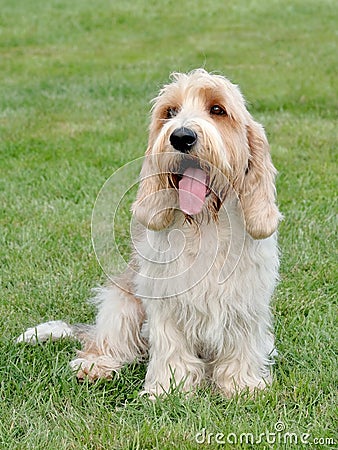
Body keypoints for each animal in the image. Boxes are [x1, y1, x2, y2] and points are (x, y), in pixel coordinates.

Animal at [19, 69, 282, 398]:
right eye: (170, 112)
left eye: (217, 110)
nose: (181, 136)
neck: (204, 225)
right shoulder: (165, 299)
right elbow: (171, 346)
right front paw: (169, 389)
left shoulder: (245, 301)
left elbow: (240, 346)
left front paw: (242, 386)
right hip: (121, 307)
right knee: (104, 343)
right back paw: (95, 367)